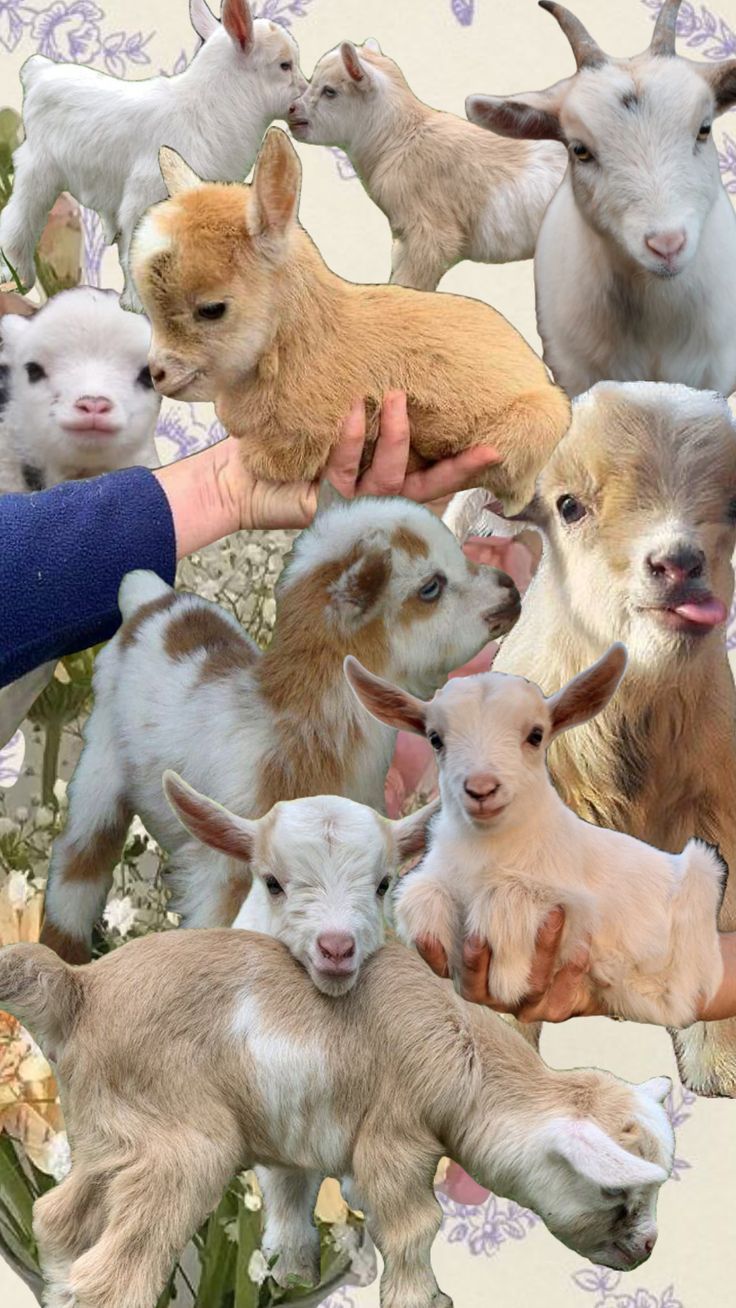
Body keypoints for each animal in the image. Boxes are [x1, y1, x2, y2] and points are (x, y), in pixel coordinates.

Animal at [0, 0, 306, 309]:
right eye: (284, 65)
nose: (304, 93)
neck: (207, 107)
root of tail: (39, 72)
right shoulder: (145, 192)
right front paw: (138, 306)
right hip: (37, 168)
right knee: (19, 217)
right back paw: (16, 278)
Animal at [0, 934, 674, 1307]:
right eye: (617, 1196)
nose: (648, 1248)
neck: (467, 1052)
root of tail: (80, 987)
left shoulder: (289, 1149)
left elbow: (289, 1223)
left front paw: (292, 1280)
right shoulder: (395, 1142)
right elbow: (413, 1228)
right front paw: (423, 1300)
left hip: (109, 1134)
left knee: (56, 1217)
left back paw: (56, 1287)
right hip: (182, 1142)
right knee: (113, 1273)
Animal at [41, 494, 520, 964]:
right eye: (430, 587)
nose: (511, 590)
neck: (293, 727)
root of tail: (149, 601)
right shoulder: (225, 870)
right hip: (102, 758)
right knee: (78, 863)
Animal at [345, 646, 725, 1029]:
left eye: (536, 735)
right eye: (436, 739)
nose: (481, 789)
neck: (491, 847)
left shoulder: (576, 903)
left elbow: (508, 898)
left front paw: (509, 976)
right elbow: (419, 895)